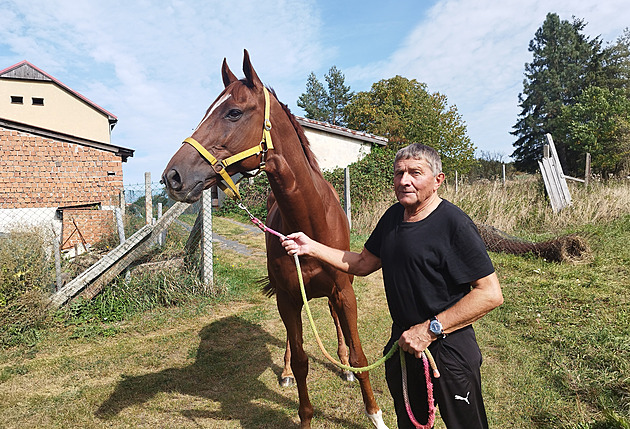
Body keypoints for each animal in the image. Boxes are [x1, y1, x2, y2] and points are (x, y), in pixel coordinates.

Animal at [162, 51, 390, 428]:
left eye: (233, 112)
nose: (173, 176)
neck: (309, 223)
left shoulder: (344, 291)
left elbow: (360, 357)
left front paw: (374, 413)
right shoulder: (287, 297)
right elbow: (300, 362)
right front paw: (303, 411)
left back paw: (340, 363)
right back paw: (283, 371)